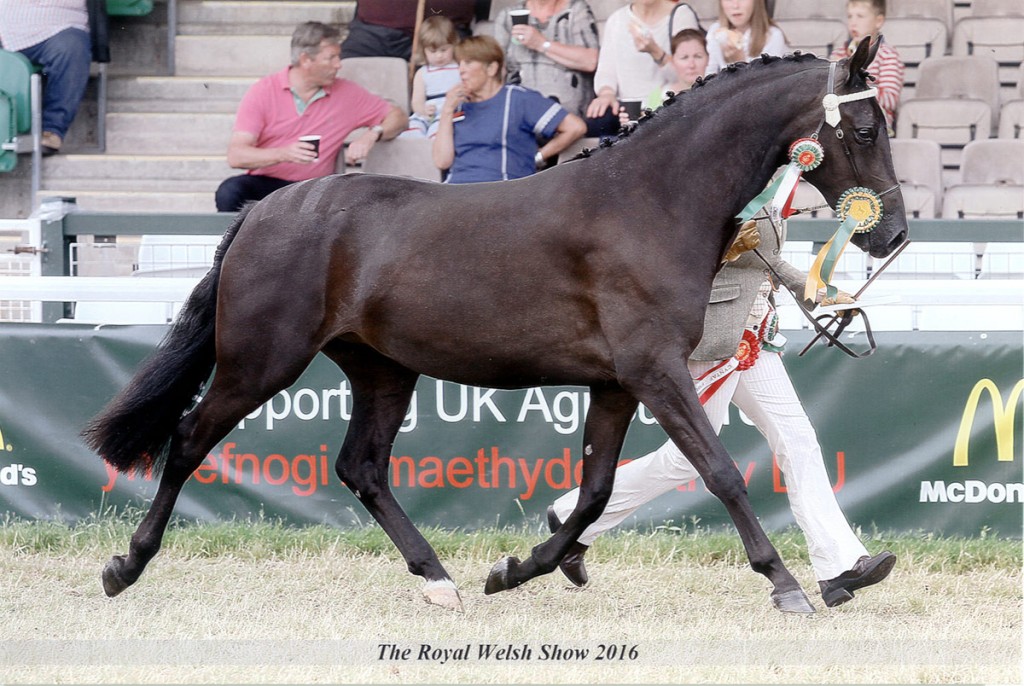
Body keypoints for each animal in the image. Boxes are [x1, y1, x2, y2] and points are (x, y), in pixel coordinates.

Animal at [86, 40, 905, 614]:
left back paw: (438, 579)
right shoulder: (655, 372)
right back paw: (125, 566)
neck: (649, 200)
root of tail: (264, 211)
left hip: (382, 370)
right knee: (189, 440)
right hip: (262, 362)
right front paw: (786, 583)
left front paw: (515, 571)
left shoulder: (617, 384)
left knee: (362, 468)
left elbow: (597, 491)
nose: (892, 234)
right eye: (866, 127)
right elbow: (720, 471)